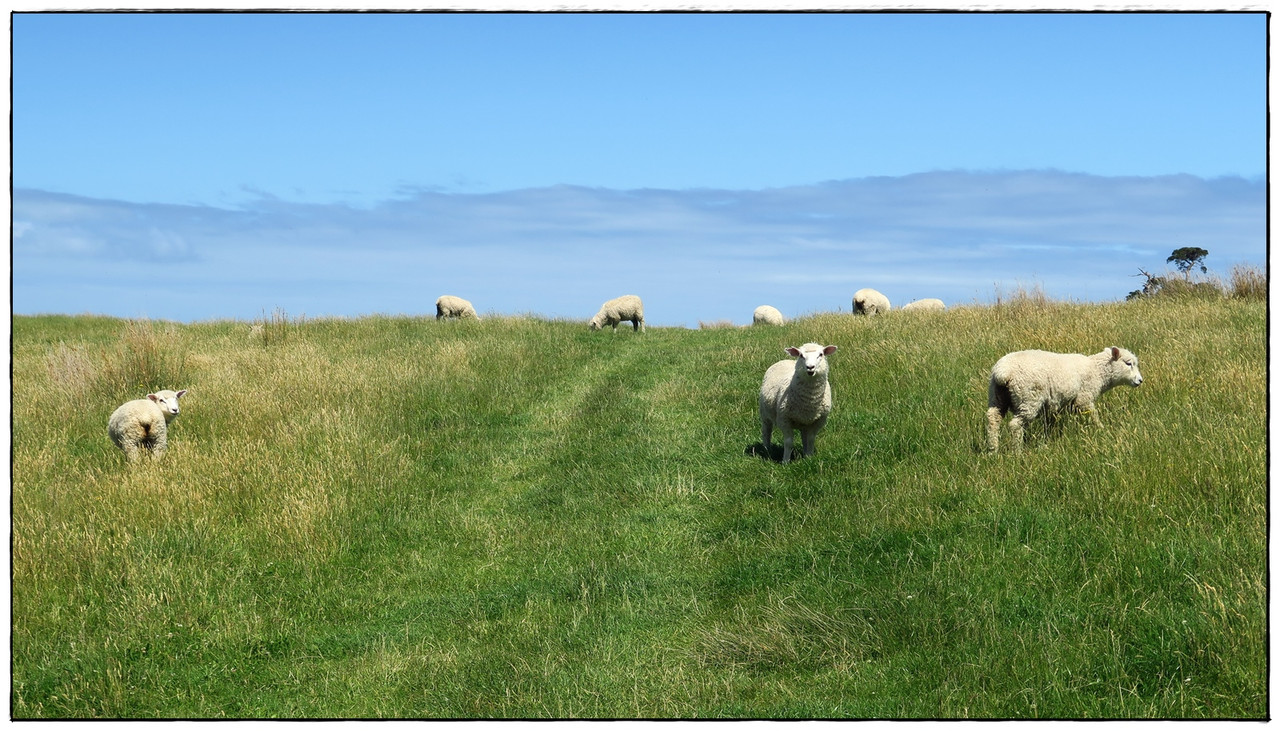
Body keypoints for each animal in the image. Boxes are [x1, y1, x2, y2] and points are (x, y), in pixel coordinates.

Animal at [983, 348, 1146, 455]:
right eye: (1128, 363)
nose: (1140, 381)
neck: (1097, 371)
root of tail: (1003, 372)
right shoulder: (1084, 398)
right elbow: (1094, 415)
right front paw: (1102, 429)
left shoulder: (1055, 406)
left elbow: (1050, 423)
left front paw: (1048, 438)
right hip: (1028, 398)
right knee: (1015, 425)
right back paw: (1017, 451)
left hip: (997, 396)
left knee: (993, 419)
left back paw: (993, 450)